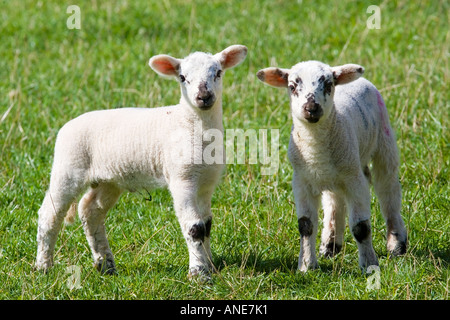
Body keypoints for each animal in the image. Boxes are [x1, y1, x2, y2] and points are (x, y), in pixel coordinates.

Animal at [35, 43, 248, 278]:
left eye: (218, 73)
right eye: (182, 77)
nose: (204, 96)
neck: (187, 123)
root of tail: (66, 126)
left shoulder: (206, 183)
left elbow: (206, 225)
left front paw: (210, 266)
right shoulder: (182, 179)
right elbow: (194, 228)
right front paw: (199, 273)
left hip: (109, 180)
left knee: (90, 211)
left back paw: (105, 265)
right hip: (68, 166)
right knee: (50, 214)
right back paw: (43, 266)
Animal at [256, 59, 408, 270]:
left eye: (328, 85)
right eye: (292, 86)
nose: (311, 108)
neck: (315, 150)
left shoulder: (355, 180)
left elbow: (361, 227)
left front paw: (369, 265)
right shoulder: (301, 181)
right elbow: (306, 225)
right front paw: (307, 266)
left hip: (383, 143)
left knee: (388, 191)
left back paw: (397, 245)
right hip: (336, 174)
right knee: (334, 201)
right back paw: (330, 246)